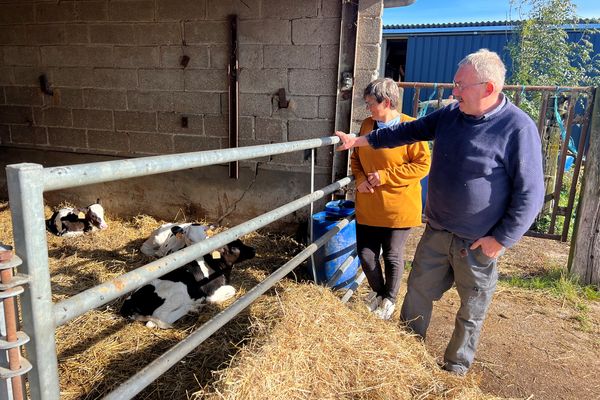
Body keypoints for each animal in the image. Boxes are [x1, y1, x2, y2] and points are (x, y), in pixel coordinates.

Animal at [119, 241, 255, 328]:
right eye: (234, 248)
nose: (253, 250)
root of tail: (129, 302)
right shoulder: (211, 291)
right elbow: (231, 289)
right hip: (177, 292)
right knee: (161, 318)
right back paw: (193, 308)